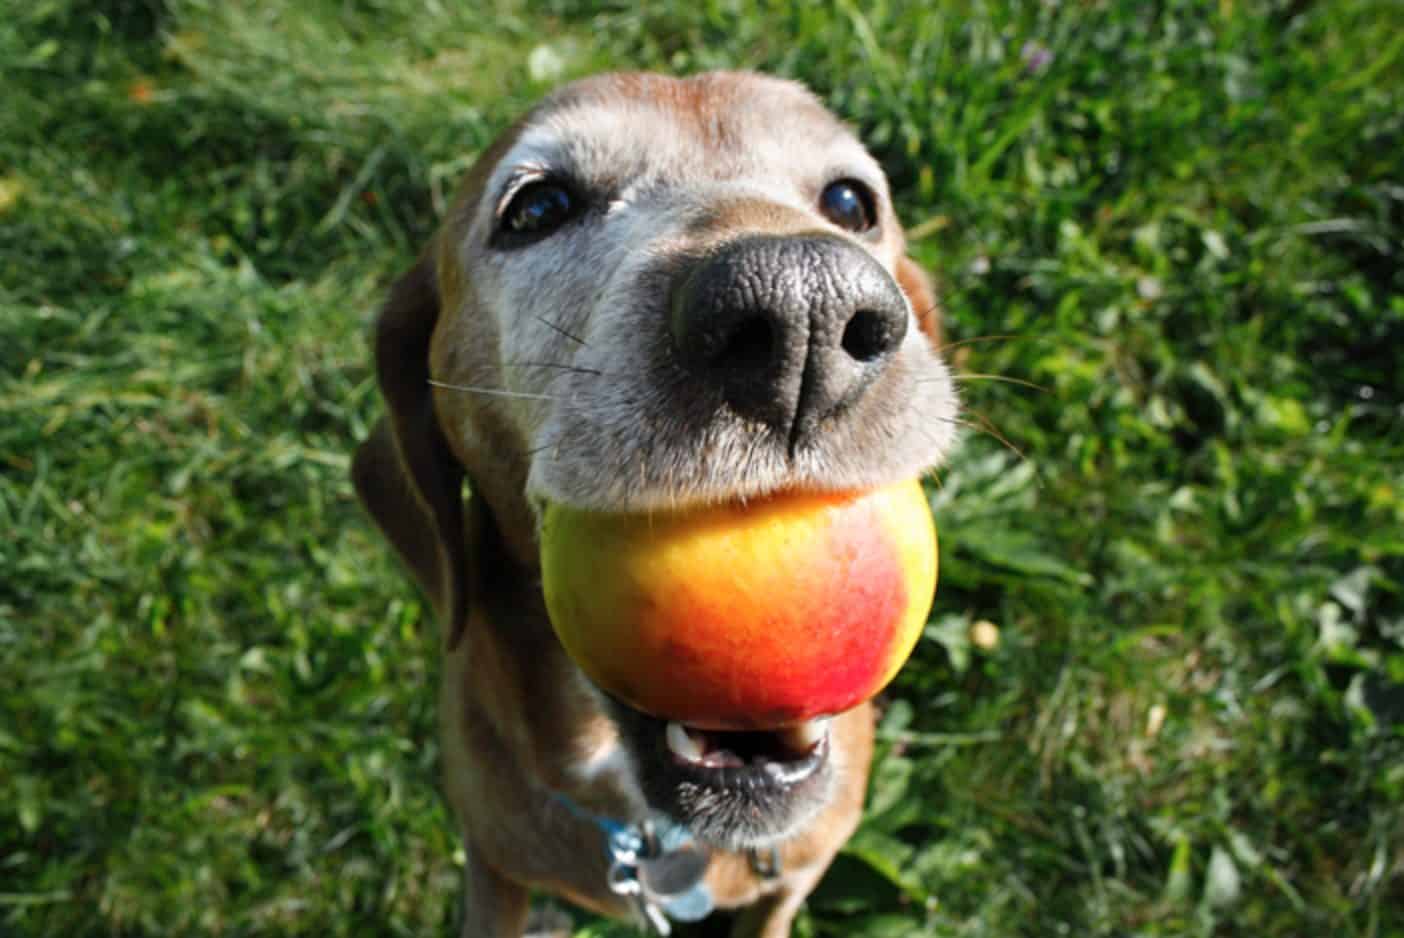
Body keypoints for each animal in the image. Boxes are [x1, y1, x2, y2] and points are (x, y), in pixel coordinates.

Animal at [351, 69, 960, 932]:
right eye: (535, 208)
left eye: (850, 201)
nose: (804, 309)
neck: (659, 839)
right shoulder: (492, 866)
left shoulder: (792, 881)